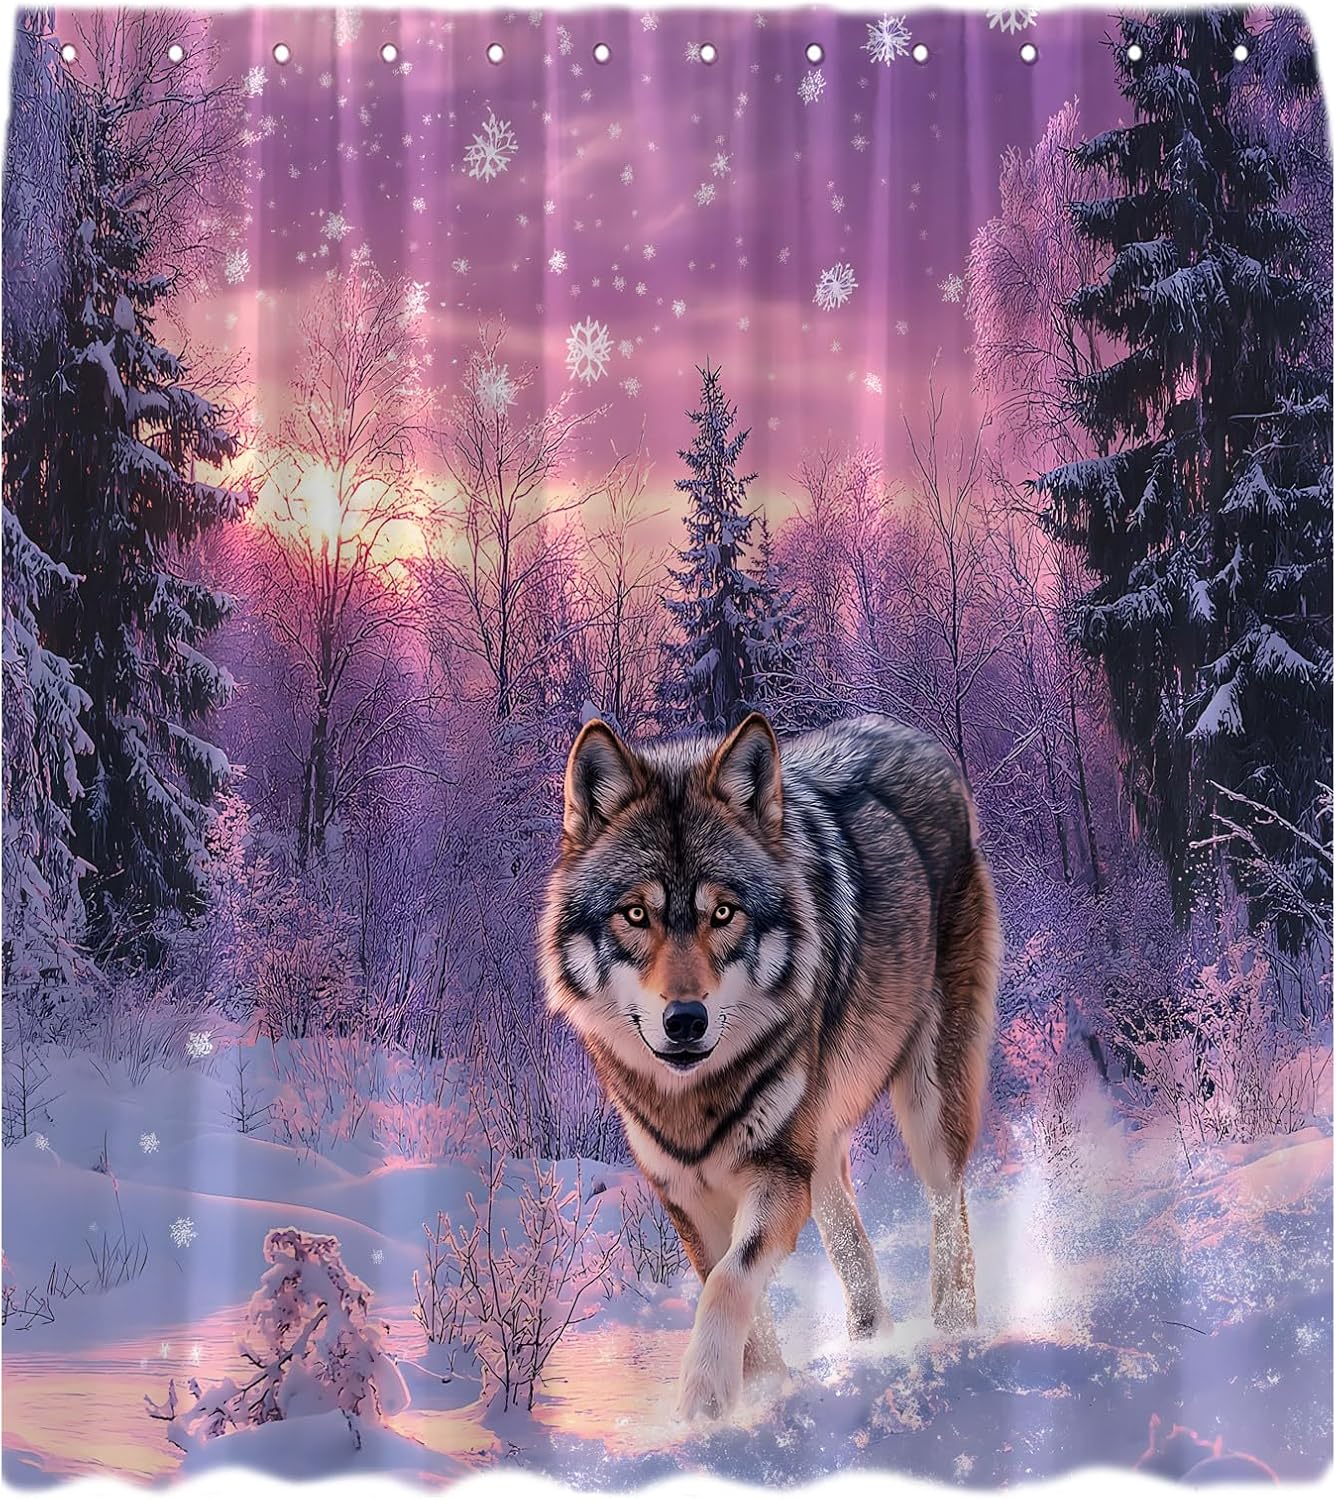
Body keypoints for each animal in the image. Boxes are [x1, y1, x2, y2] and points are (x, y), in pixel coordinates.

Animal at [539, 711, 1000, 1421]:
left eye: (723, 912)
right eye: (636, 913)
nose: (686, 1020)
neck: (694, 1095)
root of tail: (910, 733)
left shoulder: (777, 1174)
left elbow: (731, 1279)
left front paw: (704, 1399)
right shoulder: (686, 1194)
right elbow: (729, 1291)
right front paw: (758, 1393)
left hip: (924, 1110)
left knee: (950, 1211)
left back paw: (953, 1334)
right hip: (823, 1147)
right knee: (854, 1243)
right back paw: (870, 1344)